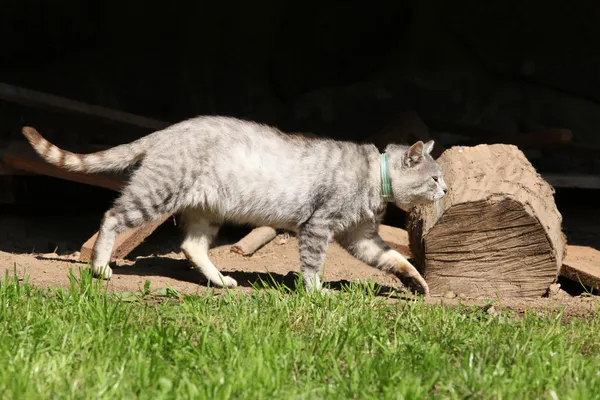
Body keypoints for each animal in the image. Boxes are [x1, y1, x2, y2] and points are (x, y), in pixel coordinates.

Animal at [22, 115, 446, 294]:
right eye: (435, 178)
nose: (445, 190)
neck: (376, 176)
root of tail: (167, 131)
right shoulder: (319, 226)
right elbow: (312, 266)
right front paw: (316, 291)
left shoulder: (360, 236)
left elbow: (395, 258)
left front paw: (418, 283)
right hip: (156, 195)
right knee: (111, 217)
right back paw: (100, 267)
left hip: (206, 211)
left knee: (192, 246)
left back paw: (222, 281)